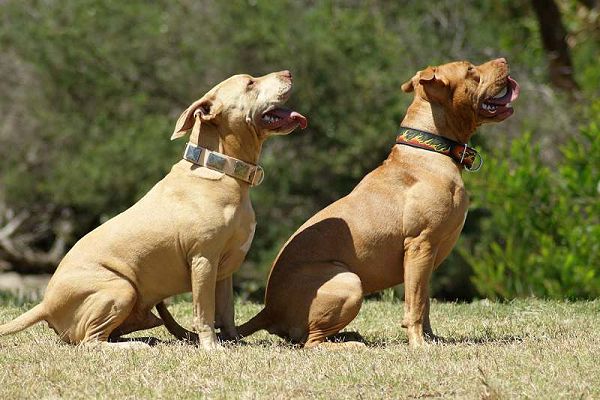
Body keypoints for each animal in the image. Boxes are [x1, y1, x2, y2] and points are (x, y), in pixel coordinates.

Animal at [0, 70, 308, 348]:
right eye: (250, 83)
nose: (289, 72)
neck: (220, 168)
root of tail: (45, 304)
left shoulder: (224, 269)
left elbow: (227, 312)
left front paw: (233, 342)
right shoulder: (204, 260)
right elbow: (204, 312)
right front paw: (211, 347)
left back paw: (147, 338)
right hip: (121, 288)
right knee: (90, 342)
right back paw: (136, 345)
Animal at [239, 57, 520, 346]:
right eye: (470, 70)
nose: (503, 60)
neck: (431, 151)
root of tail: (269, 309)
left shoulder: (426, 260)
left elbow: (425, 301)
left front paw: (431, 338)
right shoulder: (420, 246)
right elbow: (415, 304)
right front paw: (418, 344)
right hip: (349, 281)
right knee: (310, 343)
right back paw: (351, 345)